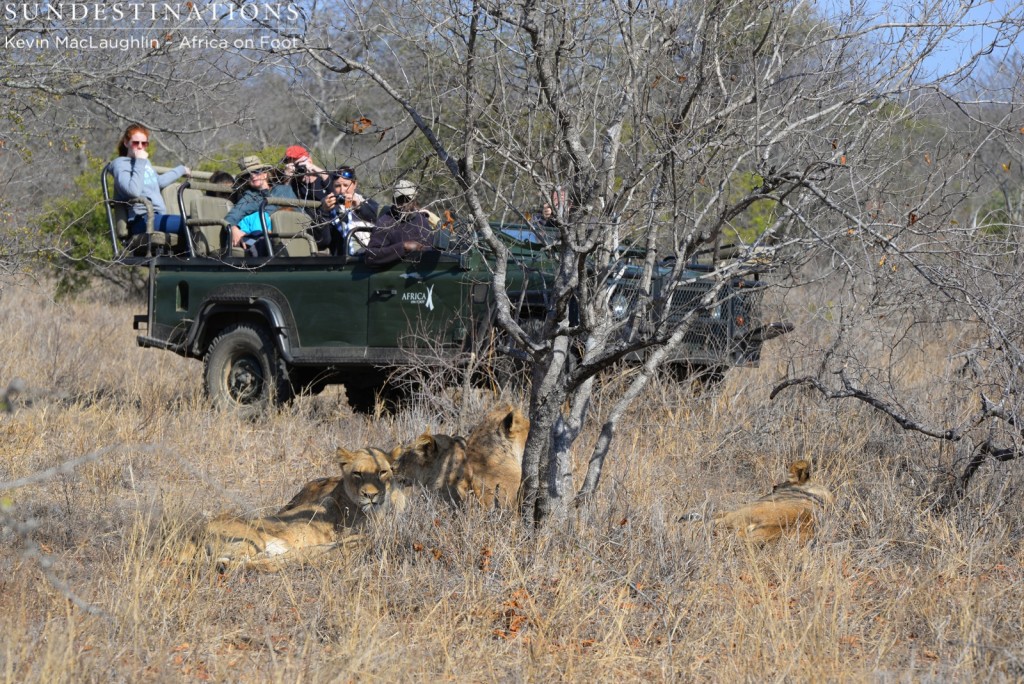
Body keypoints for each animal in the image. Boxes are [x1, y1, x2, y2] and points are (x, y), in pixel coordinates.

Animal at [182, 446, 405, 569]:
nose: (371, 495)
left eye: (382, 472)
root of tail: (194, 533)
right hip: (253, 540)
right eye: (357, 473)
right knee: (248, 562)